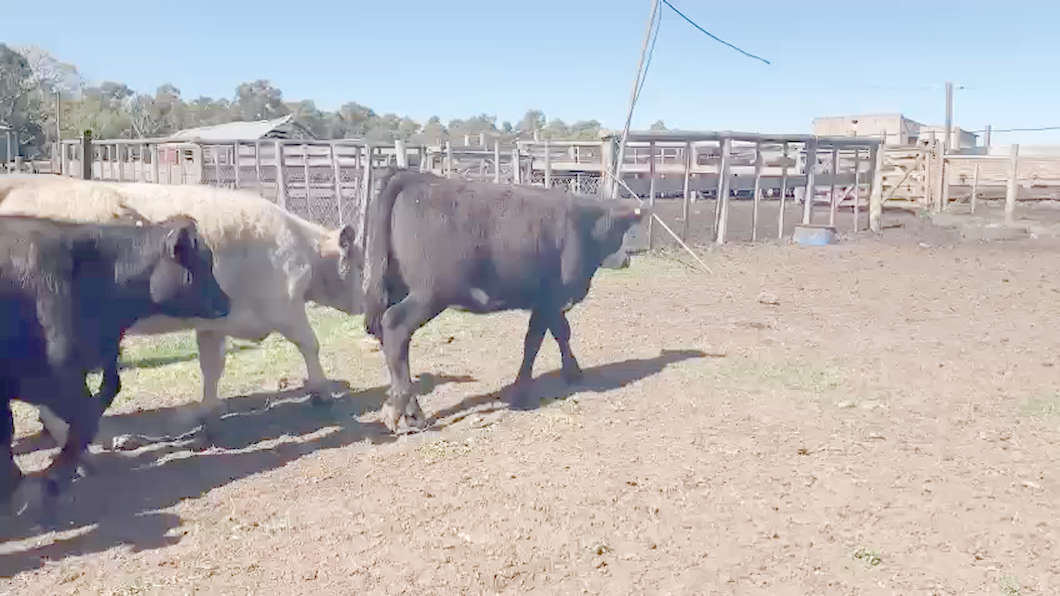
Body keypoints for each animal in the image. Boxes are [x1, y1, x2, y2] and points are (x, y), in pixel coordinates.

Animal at [0, 173, 364, 443]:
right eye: (360, 264)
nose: (363, 303)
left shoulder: (216, 322)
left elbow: (212, 367)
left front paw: (209, 414)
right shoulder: (283, 306)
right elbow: (309, 344)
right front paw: (321, 391)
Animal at [0, 213, 232, 515]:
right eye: (201, 263)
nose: (226, 302)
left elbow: (107, 391)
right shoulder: (49, 379)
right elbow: (82, 417)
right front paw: (52, 481)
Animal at [364, 167, 644, 430]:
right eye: (619, 231)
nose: (627, 259)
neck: (582, 225)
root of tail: (416, 177)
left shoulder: (548, 302)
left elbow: (561, 333)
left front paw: (572, 371)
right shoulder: (549, 299)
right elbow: (534, 342)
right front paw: (522, 390)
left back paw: (399, 405)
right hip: (429, 295)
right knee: (395, 328)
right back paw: (411, 413)